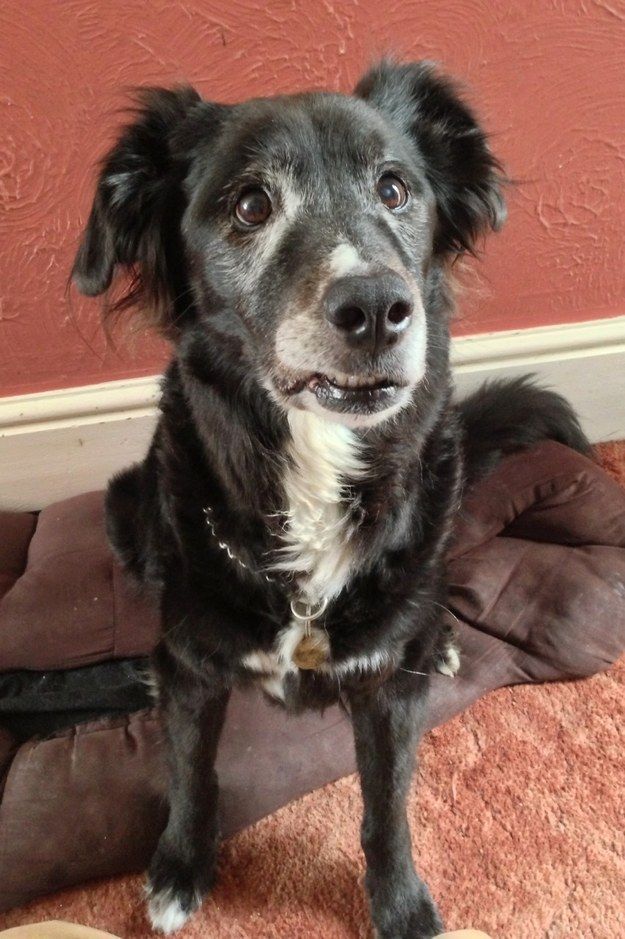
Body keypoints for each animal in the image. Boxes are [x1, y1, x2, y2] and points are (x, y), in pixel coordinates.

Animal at [70, 60, 588, 939]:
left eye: (393, 188)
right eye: (250, 204)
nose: (377, 308)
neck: (314, 462)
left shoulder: (385, 690)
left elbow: (386, 808)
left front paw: (400, 904)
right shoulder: (192, 662)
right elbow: (191, 770)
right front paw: (180, 868)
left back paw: (441, 639)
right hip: (127, 503)